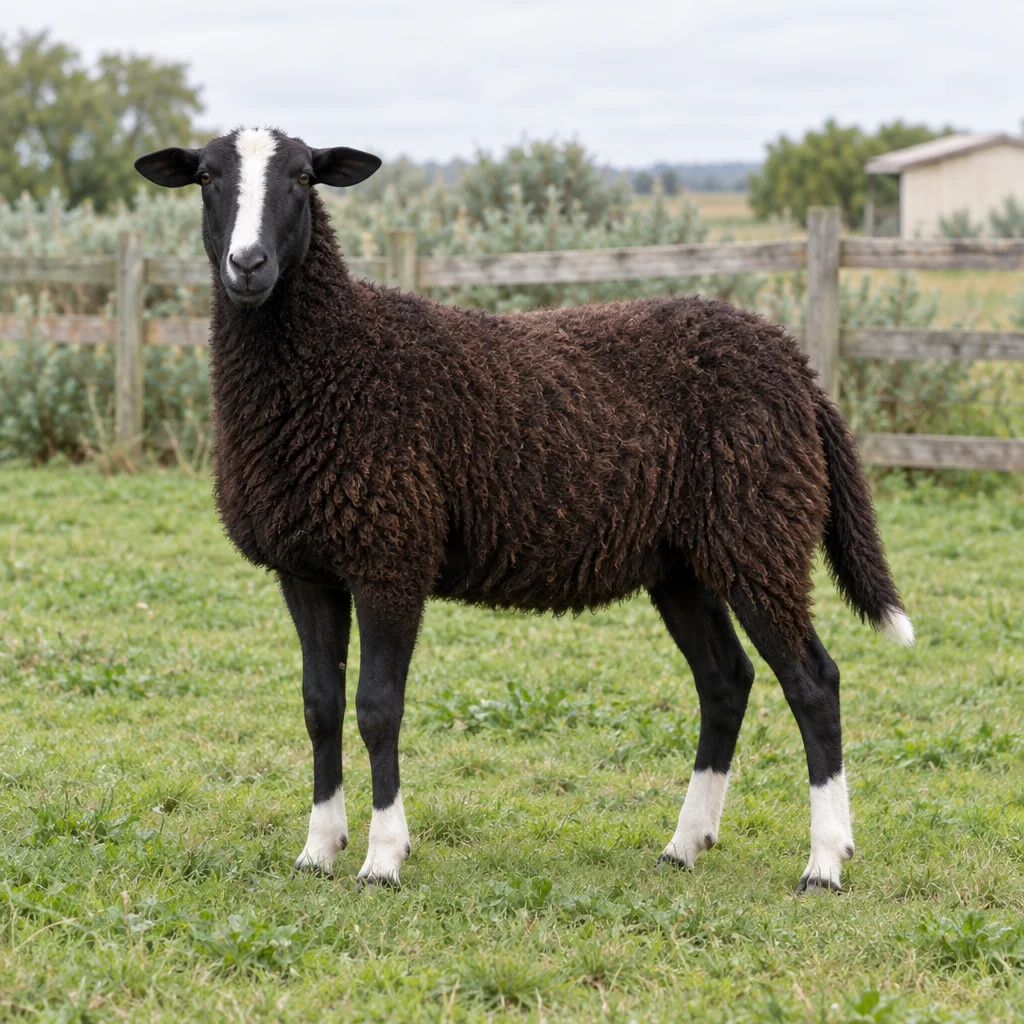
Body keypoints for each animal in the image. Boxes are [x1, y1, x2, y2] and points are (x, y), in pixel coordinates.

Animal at [135, 127, 913, 892]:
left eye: (302, 178)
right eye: (206, 178)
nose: (249, 264)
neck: (337, 357)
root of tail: (799, 369)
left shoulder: (393, 555)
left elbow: (378, 709)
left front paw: (384, 859)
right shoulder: (307, 568)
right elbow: (319, 707)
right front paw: (318, 851)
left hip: (759, 531)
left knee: (813, 683)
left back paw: (825, 861)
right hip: (685, 563)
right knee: (726, 682)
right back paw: (685, 845)